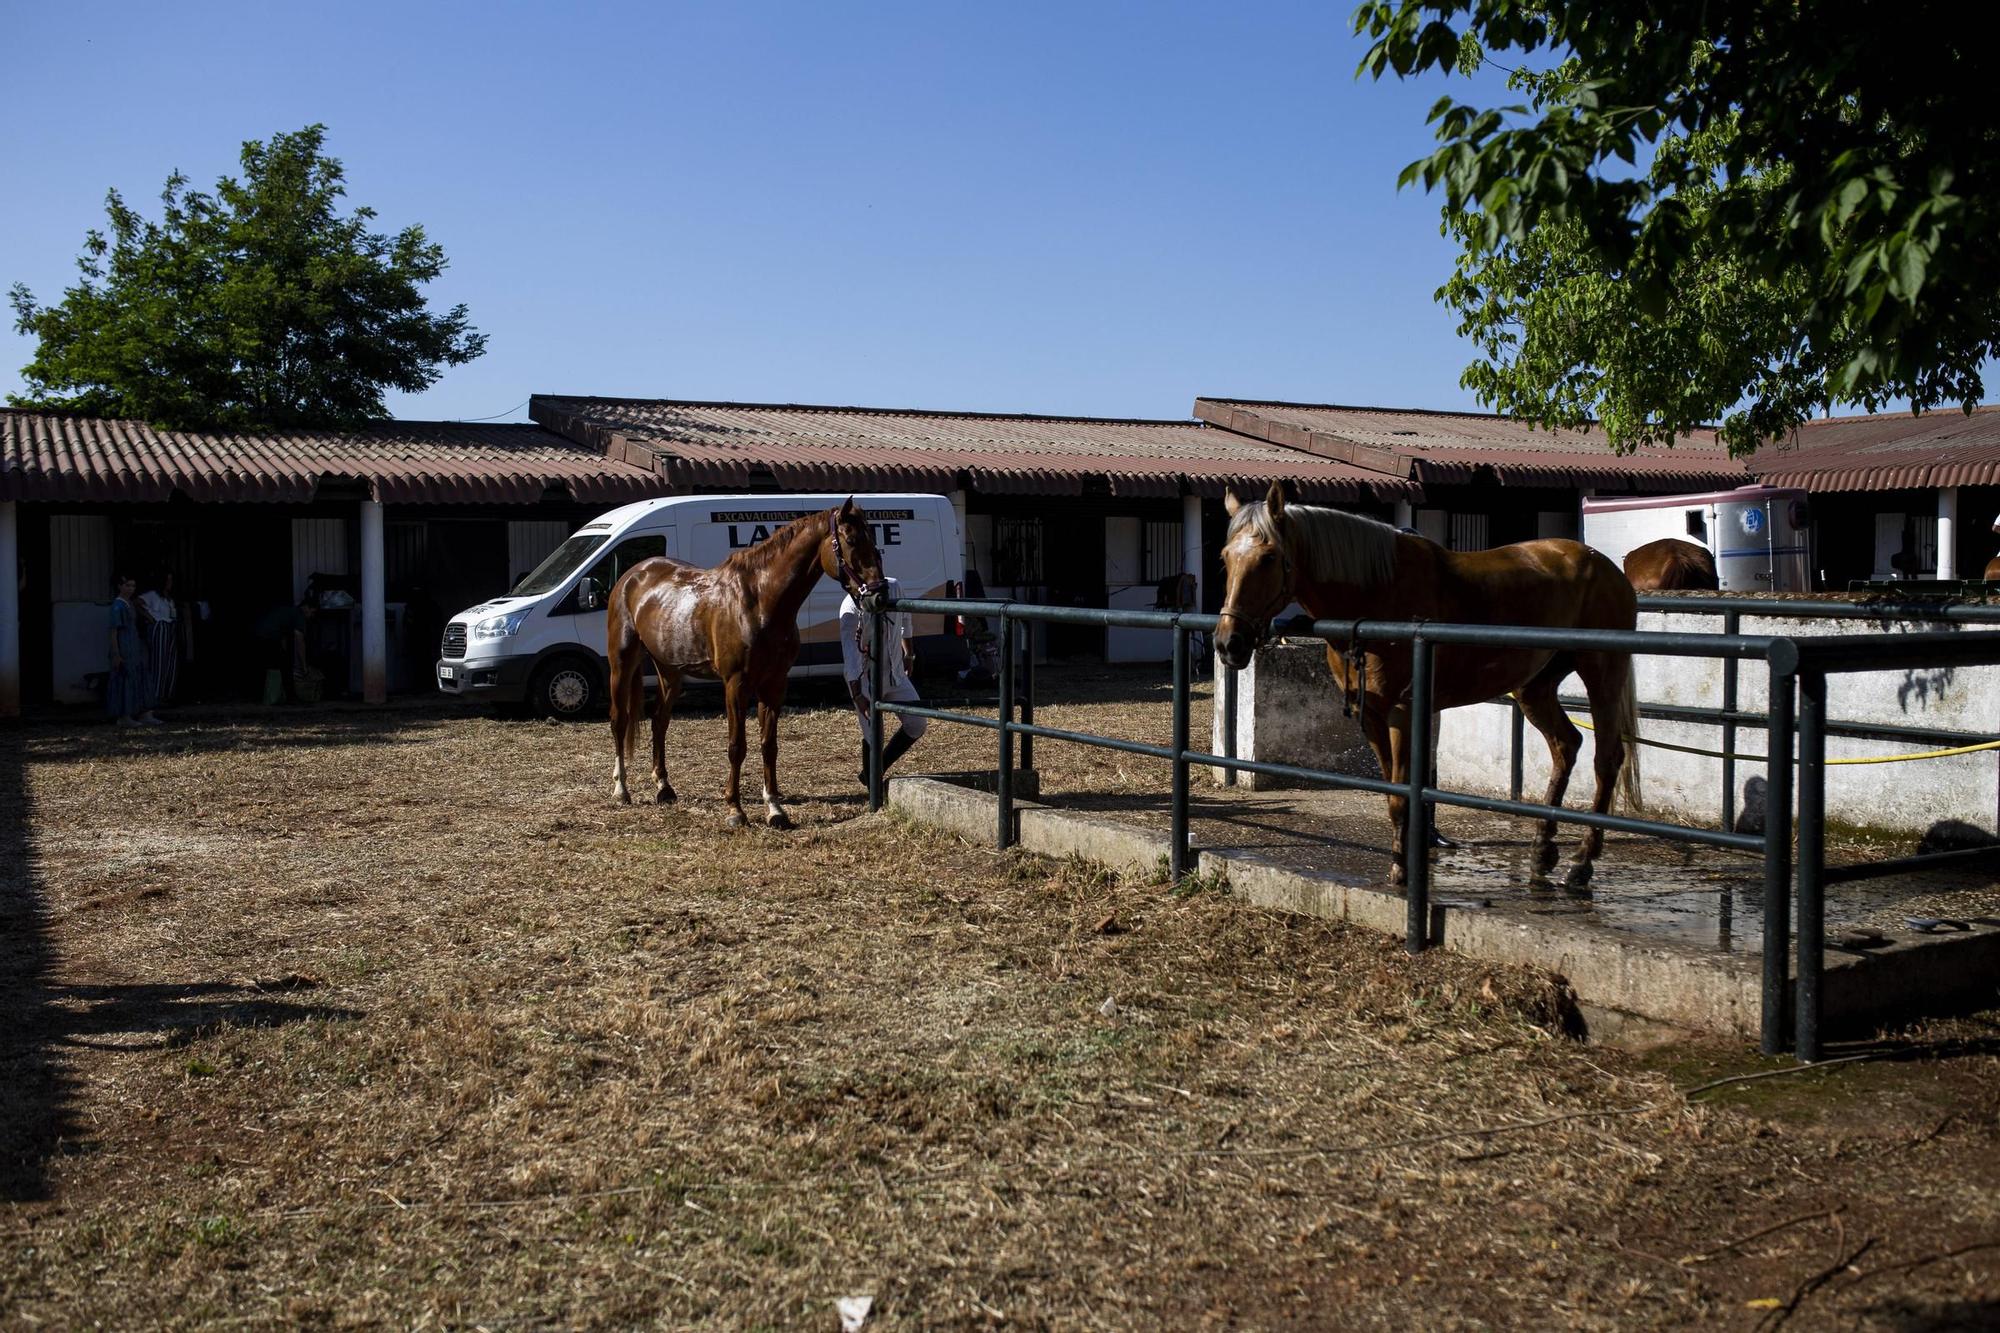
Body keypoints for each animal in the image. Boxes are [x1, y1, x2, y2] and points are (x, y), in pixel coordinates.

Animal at [608, 498, 884, 824]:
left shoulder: (775, 684)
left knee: (659, 721)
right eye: (851, 540)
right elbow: (736, 746)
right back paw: (621, 790)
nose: (879, 593)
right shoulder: (735, 684)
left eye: (874, 541)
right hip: (621, 663)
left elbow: (769, 746)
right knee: (619, 720)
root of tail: (632, 575)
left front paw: (775, 809)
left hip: (670, 673)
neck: (761, 601)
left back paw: (664, 787)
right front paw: (735, 809)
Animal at [1216, 482, 1640, 888]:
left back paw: (1582, 863)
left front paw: (1402, 871)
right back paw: (1542, 849)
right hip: (1535, 687)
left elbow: (1403, 794)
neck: (1377, 594)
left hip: (1602, 674)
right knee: (1565, 745)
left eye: (1269, 558)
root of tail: (1607, 567)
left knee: (1607, 759)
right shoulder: (1371, 714)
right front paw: (1400, 861)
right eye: (1225, 558)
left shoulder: (1402, 712)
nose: (1228, 643)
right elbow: (1394, 793)